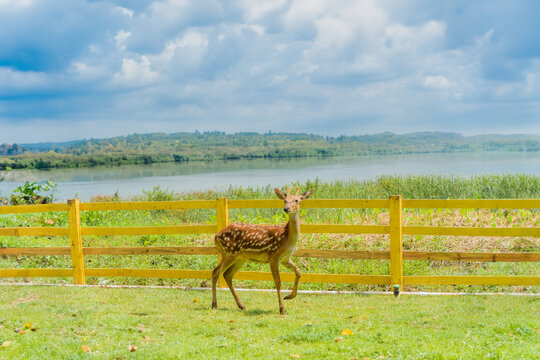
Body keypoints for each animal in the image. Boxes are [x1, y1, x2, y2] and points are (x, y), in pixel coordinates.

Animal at [211, 186, 312, 316]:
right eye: (285, 200)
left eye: (296, 200)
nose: (286, 208)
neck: (287, 238)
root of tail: (216, 236)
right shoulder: (273, 256)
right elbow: (278, 282)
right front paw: (282, 309)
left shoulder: (285, 258)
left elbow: (299, 272)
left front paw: (289, 296)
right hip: (228, 253)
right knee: (215, 272)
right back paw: (214, 304)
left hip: (240, 258)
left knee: (227, 274)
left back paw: (241, 305)